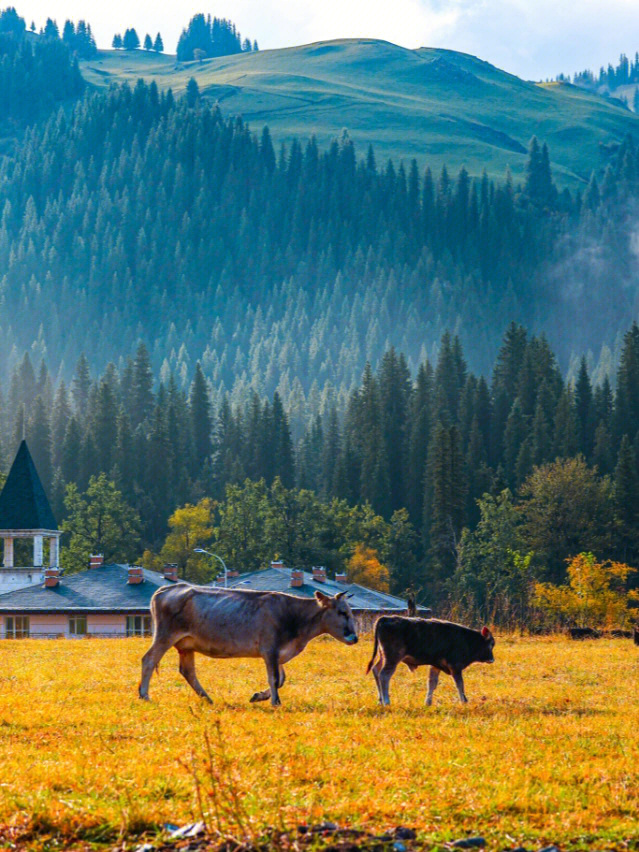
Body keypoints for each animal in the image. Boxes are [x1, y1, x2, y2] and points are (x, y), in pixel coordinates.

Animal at [139, 584, 358, 704]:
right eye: (342, 612)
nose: (354, 637)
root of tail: (167, 589)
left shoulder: (278, 654)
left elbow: (281, 679)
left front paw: (259, 696)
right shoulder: (270, 648)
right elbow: (274, 678)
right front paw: (275, 702)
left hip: (186, 645)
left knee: (187, 671)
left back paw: (207, 698)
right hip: (165, 635)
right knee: (149, 660)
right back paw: (144, 695)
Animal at [364, 620, 496, 704]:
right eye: (490, 644)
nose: (492, 659)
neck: (467, 639)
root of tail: (385, 619)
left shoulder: (436, 665)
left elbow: (432, 683)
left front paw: (428, 702)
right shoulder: (455, 666)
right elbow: (460, 684)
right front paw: (464, 701)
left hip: (383, 656)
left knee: (376, 670)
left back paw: (380, 700)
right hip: (392, 658)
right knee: (384, 675)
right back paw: (386, 701)